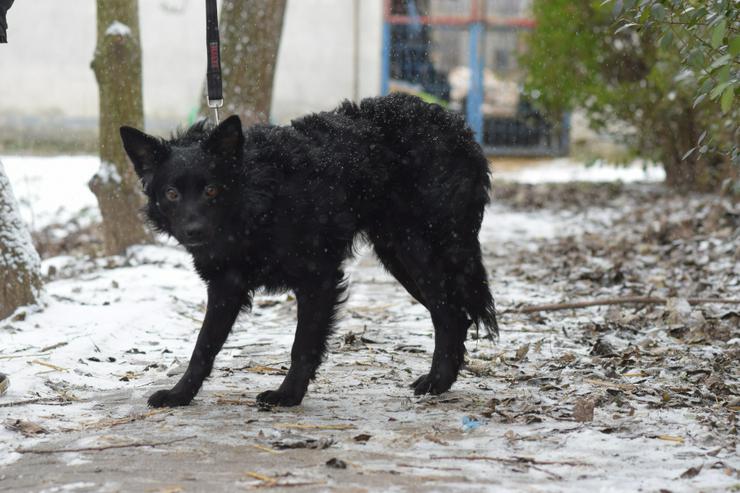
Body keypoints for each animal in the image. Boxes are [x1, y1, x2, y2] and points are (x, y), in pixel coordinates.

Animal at [121, 93, 500, 408]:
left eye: (212, 190)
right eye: (171, 193)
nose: (194, 231)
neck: (255, 201)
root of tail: (456, 125)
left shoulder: (318, 278)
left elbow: (302, 344)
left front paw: (288, 395)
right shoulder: (226, 286)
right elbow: (203, 346)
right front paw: (180, 394)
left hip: (422, 251)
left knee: (450, 314)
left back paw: (437, 382)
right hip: (400, 256)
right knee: (453, 315)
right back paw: (440, 382)